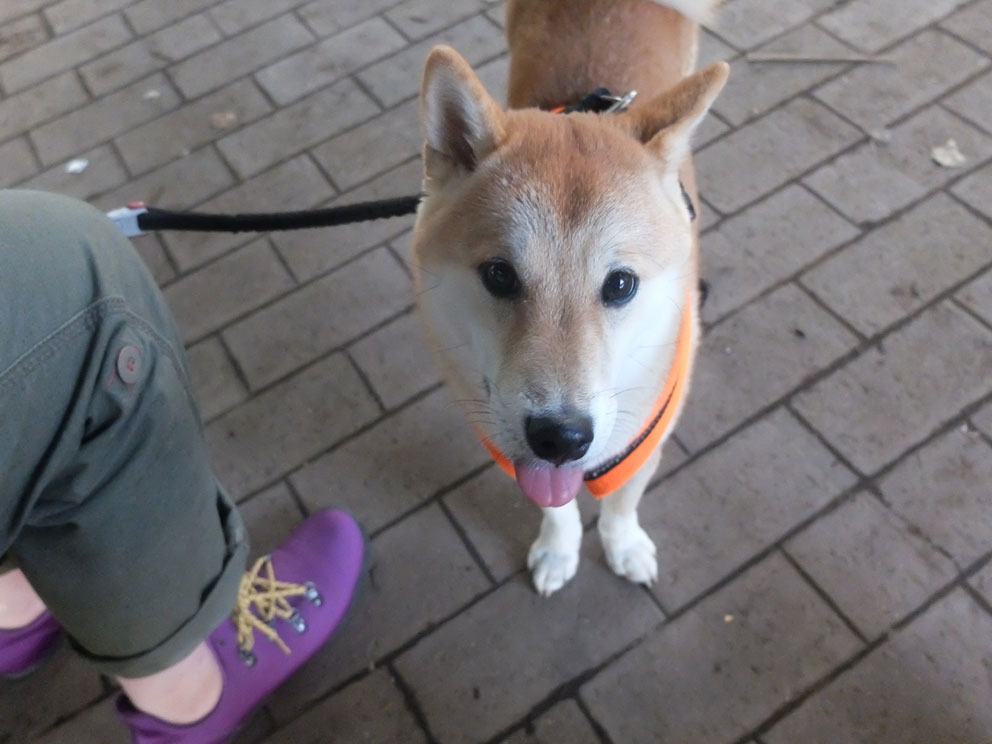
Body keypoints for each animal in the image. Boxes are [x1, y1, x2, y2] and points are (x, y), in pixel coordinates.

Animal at [411, 0, 729, 596]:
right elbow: (554, 507)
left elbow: (623, 502)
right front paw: (559, 551)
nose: (560, 437)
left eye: (621, 284)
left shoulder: (649, 434)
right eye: (499, 276)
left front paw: (623, 546)